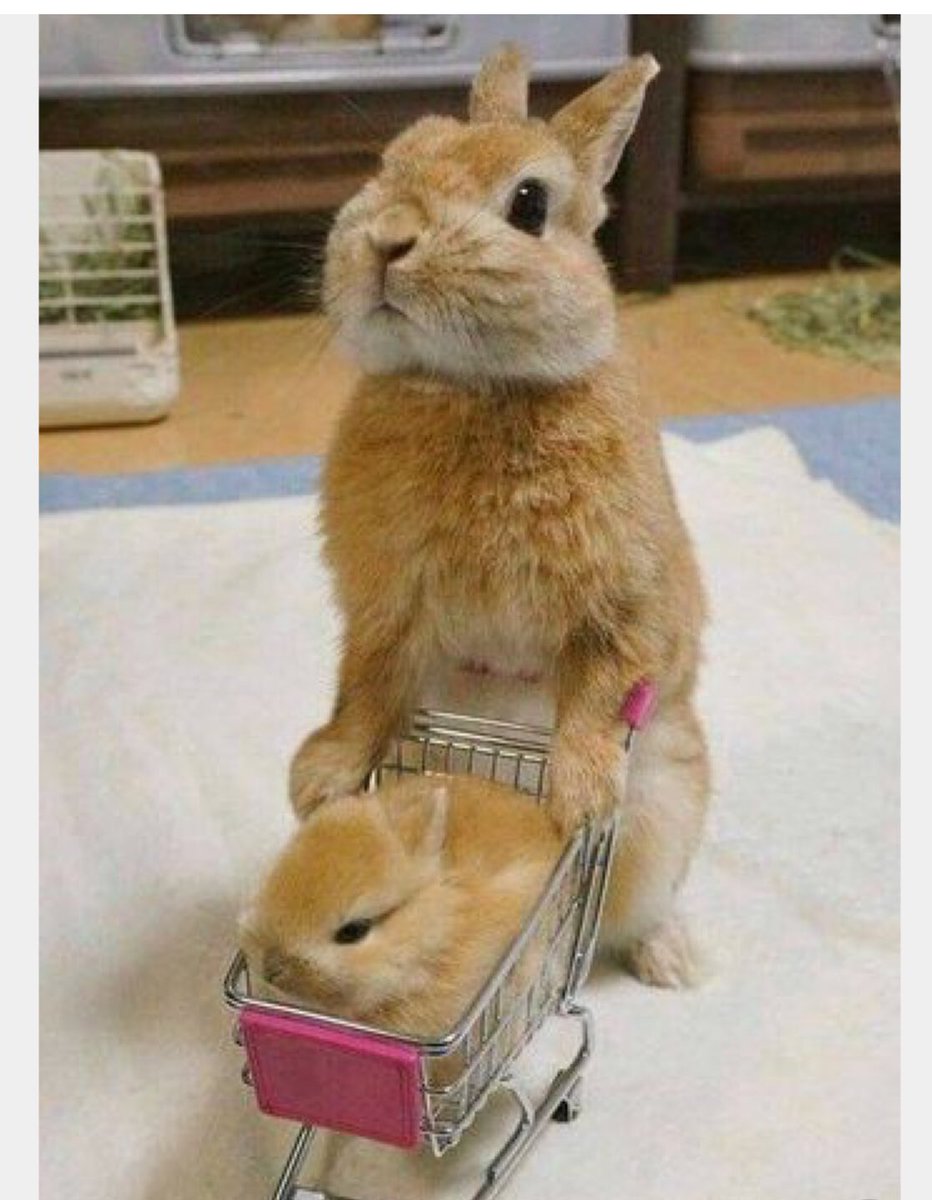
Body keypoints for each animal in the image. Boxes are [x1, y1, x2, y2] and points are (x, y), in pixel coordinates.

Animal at [289, 45, 712, 987]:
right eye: (392, 162)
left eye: (529, 205)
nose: (387, 238)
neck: (467, 389)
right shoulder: (386, 612)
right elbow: (365, 690)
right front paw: (316, 779)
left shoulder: (622, 608)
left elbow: (596, 692)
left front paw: (579, 798)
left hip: (670, 809)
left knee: (645, 903)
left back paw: (672, 961)